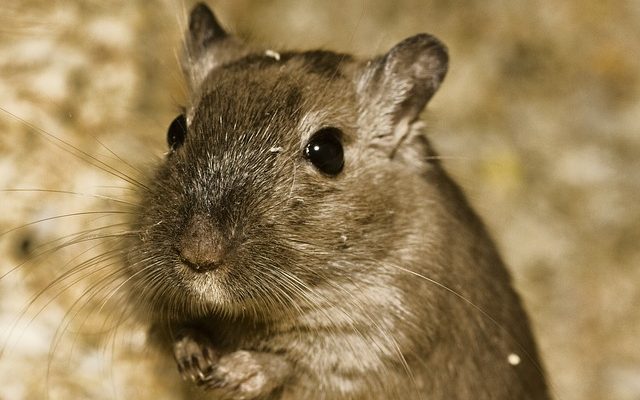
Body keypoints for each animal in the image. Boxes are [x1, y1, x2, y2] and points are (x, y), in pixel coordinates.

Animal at [124, 2, 552, 396]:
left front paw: (231, 375)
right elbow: (175, 327)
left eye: (328, 152)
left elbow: (294, 363)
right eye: (174, 131)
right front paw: (195, 361)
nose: (198, 256)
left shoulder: (381, 337)